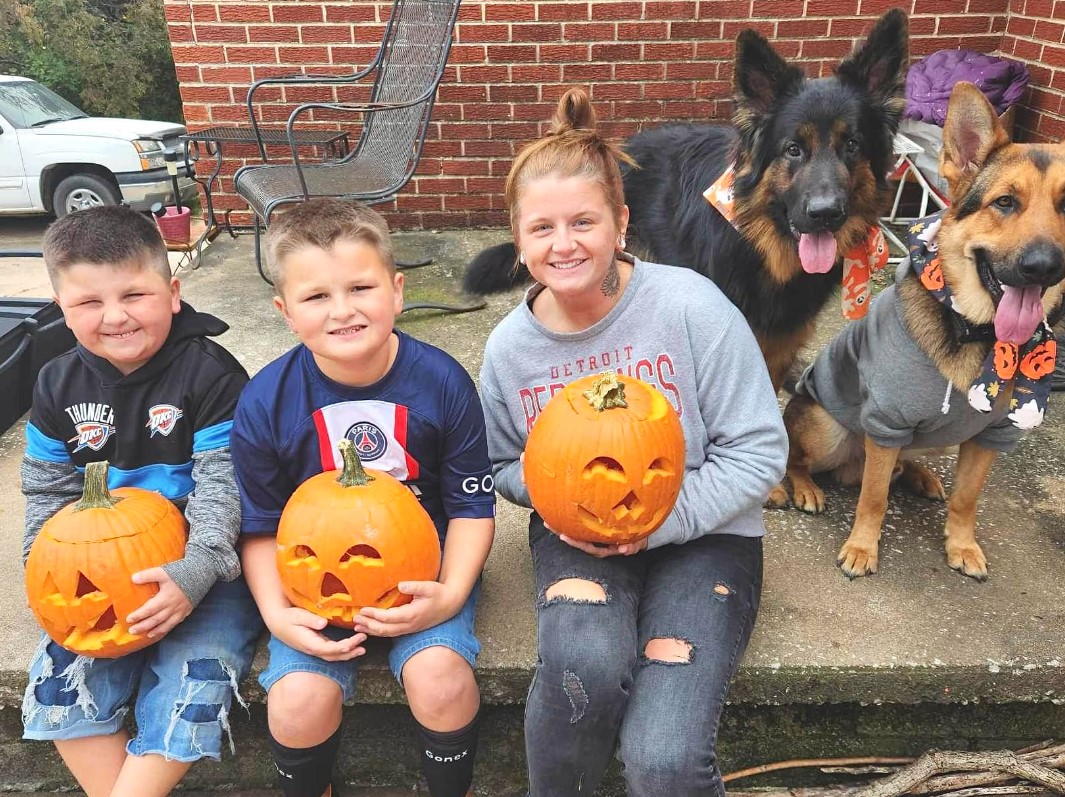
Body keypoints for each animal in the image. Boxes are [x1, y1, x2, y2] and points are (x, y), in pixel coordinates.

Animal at [775, 82, 1065, 579]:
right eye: (1004, 203)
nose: (1043, 265)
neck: (974, 332)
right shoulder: (885, 421)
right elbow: (873, 497)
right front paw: (862, 549)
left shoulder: (992, 434)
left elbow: (968, 498)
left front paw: (963, 546)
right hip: (827, 427)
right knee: (803, 457)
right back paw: (807, 487)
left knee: (904, 465)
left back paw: (921, 477)